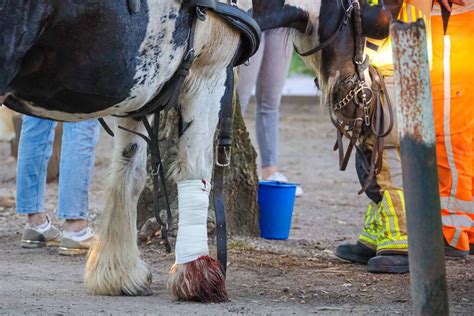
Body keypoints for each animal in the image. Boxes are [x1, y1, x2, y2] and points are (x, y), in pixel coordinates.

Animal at [0, 0, 400, 302]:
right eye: (374, 16)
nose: (364, 96)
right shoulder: (207, 76)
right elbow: (196, 172)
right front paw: (197, 275)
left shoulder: (137, 96)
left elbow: (128, 177)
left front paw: (118, 272)